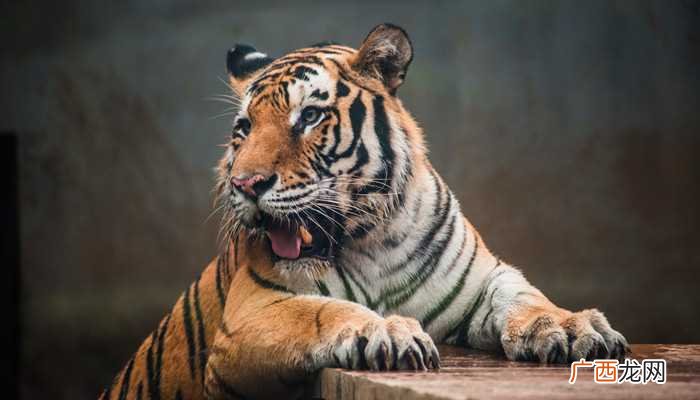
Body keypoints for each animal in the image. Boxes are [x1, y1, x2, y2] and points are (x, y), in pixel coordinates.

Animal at [100, 23, 629, 400]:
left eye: (309, 117)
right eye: (244, 128)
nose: (245, 185)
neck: (375, 241)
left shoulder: (483, 279)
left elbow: (525, 297)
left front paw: (570, 327)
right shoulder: (253, 311)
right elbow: (323, 310)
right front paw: (388, 330)